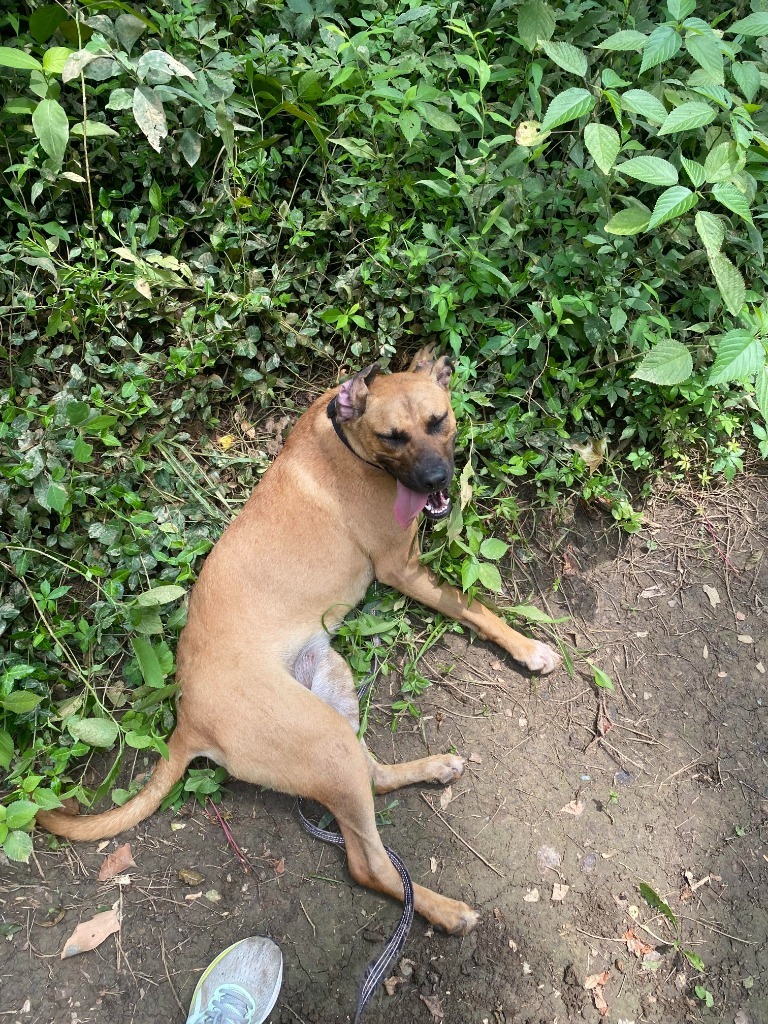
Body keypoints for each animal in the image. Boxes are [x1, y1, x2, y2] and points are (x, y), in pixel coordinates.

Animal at [37, 354, 561, 937]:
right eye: (392, 437)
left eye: (438, 421)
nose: (437, 480)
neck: (348, 437)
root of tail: (187, 721)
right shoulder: (403, 569)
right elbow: (477, 608)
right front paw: (529, 648)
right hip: (325, 742)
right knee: (368, 865)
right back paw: (445, 910)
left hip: (334, 699)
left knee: (375, 777)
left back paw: (432, 770)